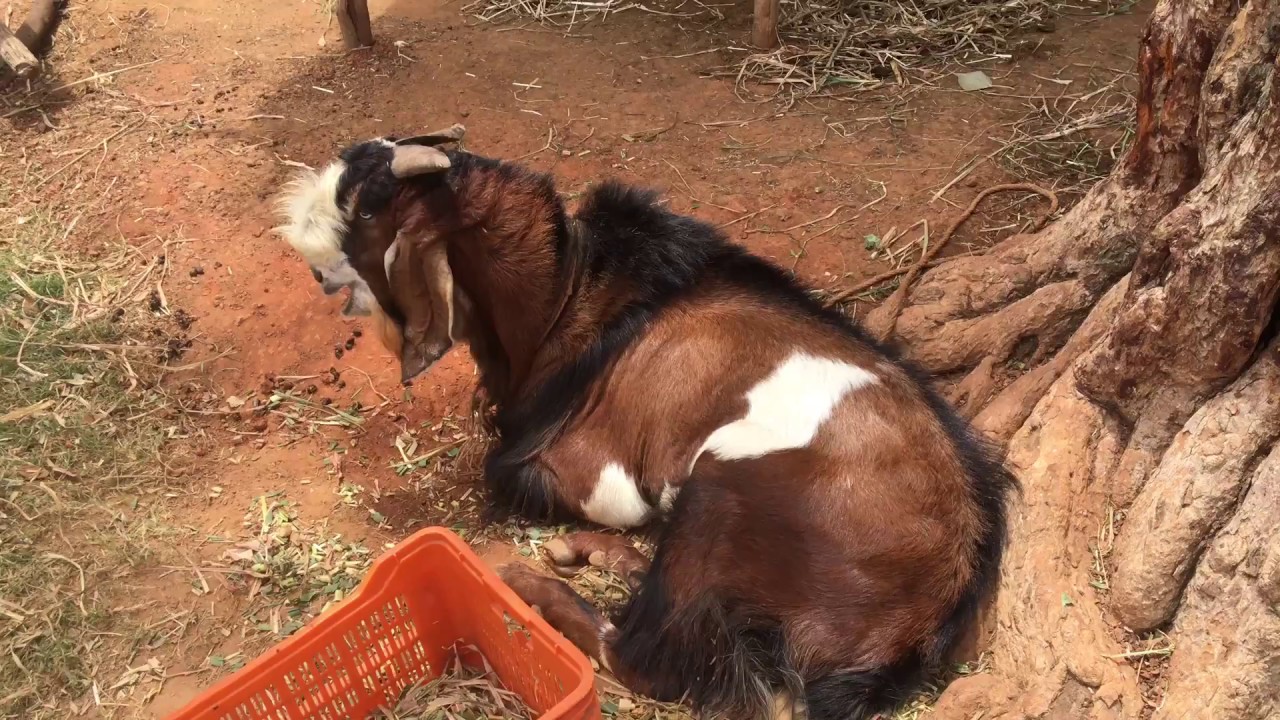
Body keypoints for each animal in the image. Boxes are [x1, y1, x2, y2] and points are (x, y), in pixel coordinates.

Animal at [277, 125, 1016, 720]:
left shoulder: (596, 474)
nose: (313, 272)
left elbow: (524, 481)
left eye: (365, 207)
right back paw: (594, 557)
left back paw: (528, 578)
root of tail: (934, 599)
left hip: (721, 487)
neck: (568, 301)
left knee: (648, 655)